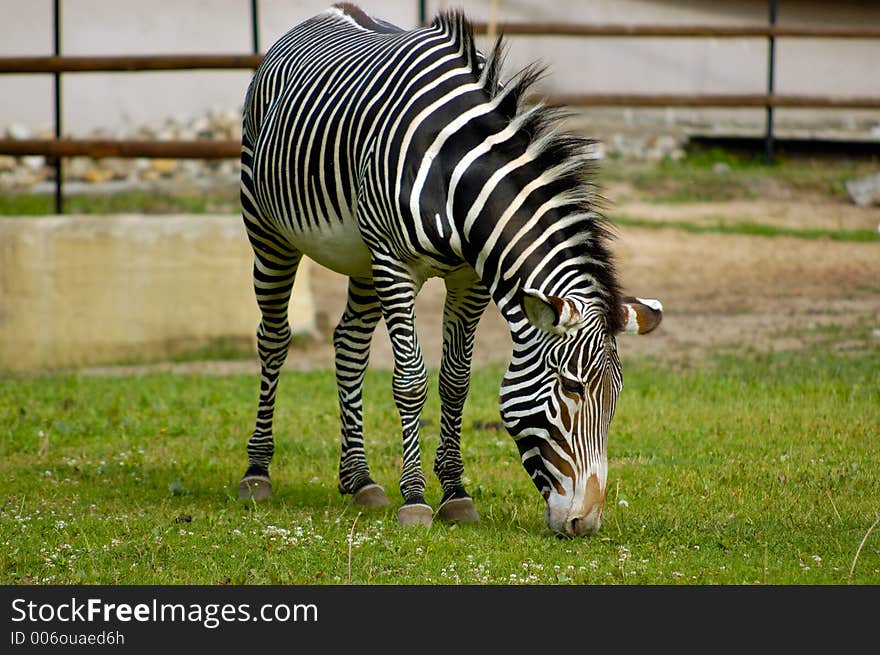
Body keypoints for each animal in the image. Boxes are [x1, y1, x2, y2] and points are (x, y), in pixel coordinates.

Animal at [237, 3, 664, 540]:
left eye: (616, 396)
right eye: (571, 388)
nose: (584, 522)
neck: (458, 178)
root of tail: (328, 12)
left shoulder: (470, 279)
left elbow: (456, 381)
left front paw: (456, 493)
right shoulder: (395, 264)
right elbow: (411, 380)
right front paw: (416, 499)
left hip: (360, 256)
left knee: (350, 344)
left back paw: (360, 480)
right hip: (268, 229)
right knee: (273, 338)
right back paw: (257, 472)